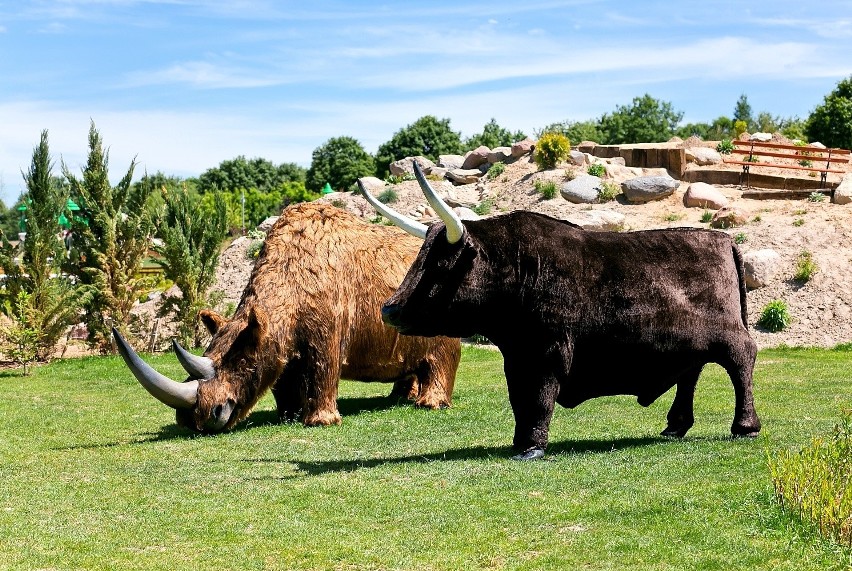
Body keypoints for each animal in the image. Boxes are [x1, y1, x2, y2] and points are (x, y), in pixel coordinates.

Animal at [115, 202, 460, 434]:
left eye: (242, 364)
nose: (196, 421)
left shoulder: (326, 328)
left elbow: (324, 368)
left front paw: (320, 422)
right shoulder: (273, 336)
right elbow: (279, 374)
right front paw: (287, 417)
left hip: (443, 294)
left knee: (441, 351)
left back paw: (430, 404)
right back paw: (401, 396)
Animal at [362, 164, 764, 460]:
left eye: (440, 266)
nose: (389, 309)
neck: (520, 268)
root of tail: (722, 238)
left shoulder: (548, 353)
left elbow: (539, 399)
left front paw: (532, 447)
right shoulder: (517, 358)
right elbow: (520, 400)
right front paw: (520, 441)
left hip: (729, 336)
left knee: (741, 361)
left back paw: (745, 427)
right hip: (690, 343)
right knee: (690, 372)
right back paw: (676, 425)